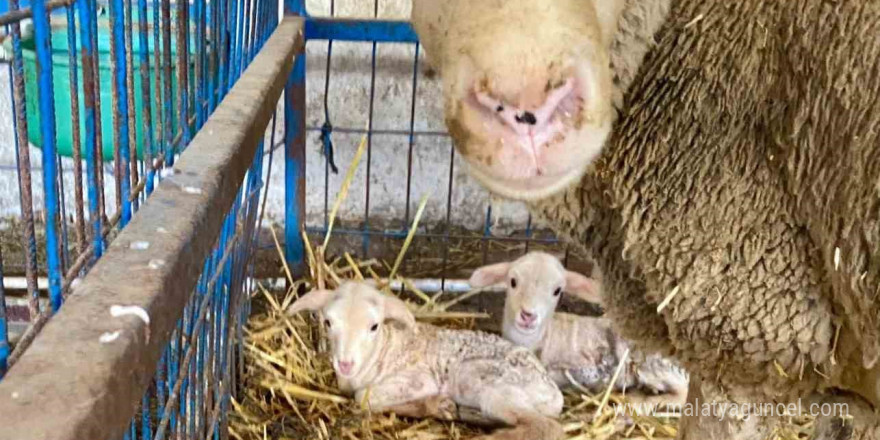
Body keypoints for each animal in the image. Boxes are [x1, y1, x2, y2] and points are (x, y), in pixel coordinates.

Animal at [288, 282, 564, 440]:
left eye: (374, 326)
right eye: (328, 322)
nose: (345, 363)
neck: (384, 350)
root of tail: (554, 393)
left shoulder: (420, 379)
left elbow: (364, 397)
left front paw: (434, 404)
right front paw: (439, 407)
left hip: (484, 380)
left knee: (548, 427)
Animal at [470, 251, 692, 410]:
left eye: (557, 291)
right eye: (513, 281)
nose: (528, 315)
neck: (543, 338)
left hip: (654, 364)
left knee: (683, 394)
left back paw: (639, 401)